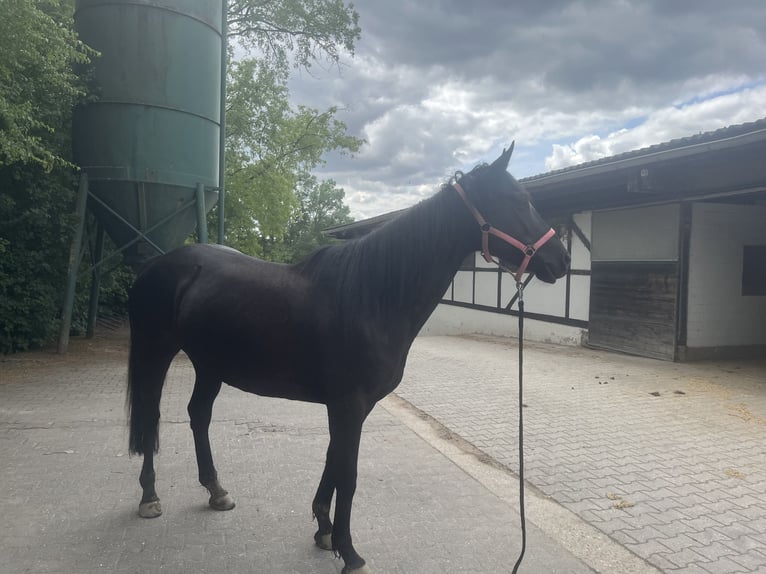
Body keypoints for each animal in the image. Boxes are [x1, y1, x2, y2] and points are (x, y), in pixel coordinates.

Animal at [125, 144, 570, 573]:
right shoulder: (348, 404)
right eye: (518, 200)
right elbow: (349, 474)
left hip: (209, 364)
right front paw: (350, 553)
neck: (371, 296)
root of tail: (155, 265)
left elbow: (334, 462)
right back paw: (149, 497)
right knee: (151, 416)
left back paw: (217, 491)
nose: (561, 260)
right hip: (156, 351)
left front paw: (324, 531)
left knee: (198, 415)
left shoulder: (353, 406)